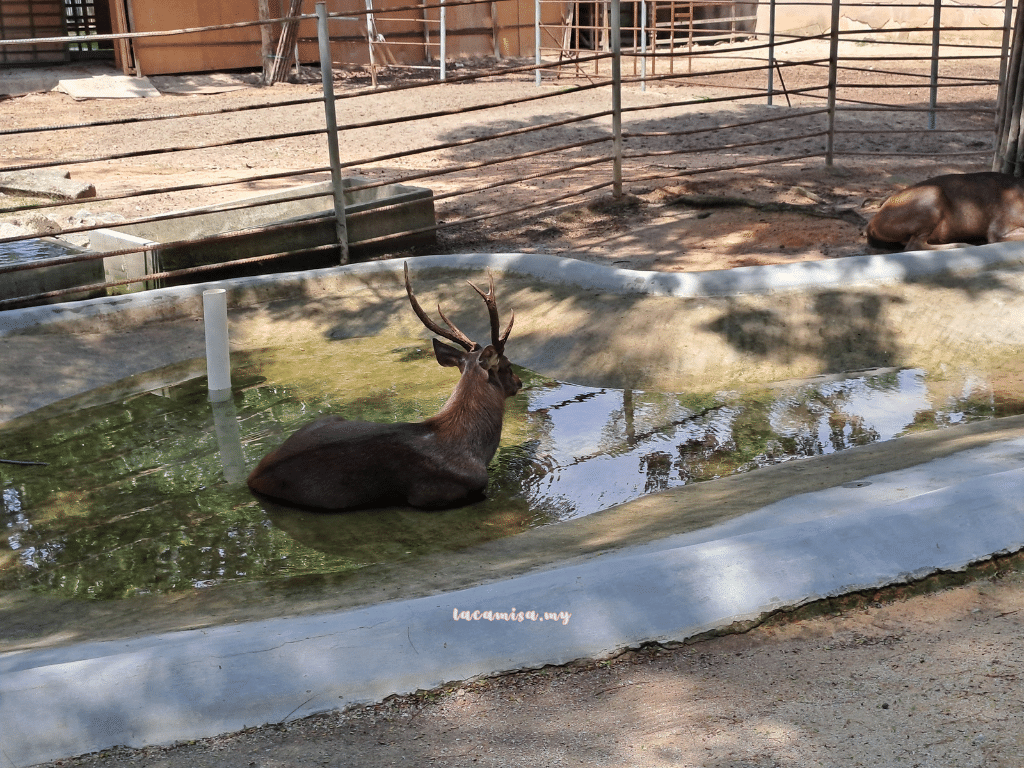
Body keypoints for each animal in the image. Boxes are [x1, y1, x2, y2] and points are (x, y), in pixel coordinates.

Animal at [245, 264, 520, 512]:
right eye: (507, 365)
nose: (519, 381)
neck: (474, 447)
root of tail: (253, 476)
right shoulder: (433, 493)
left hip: (327, 418)